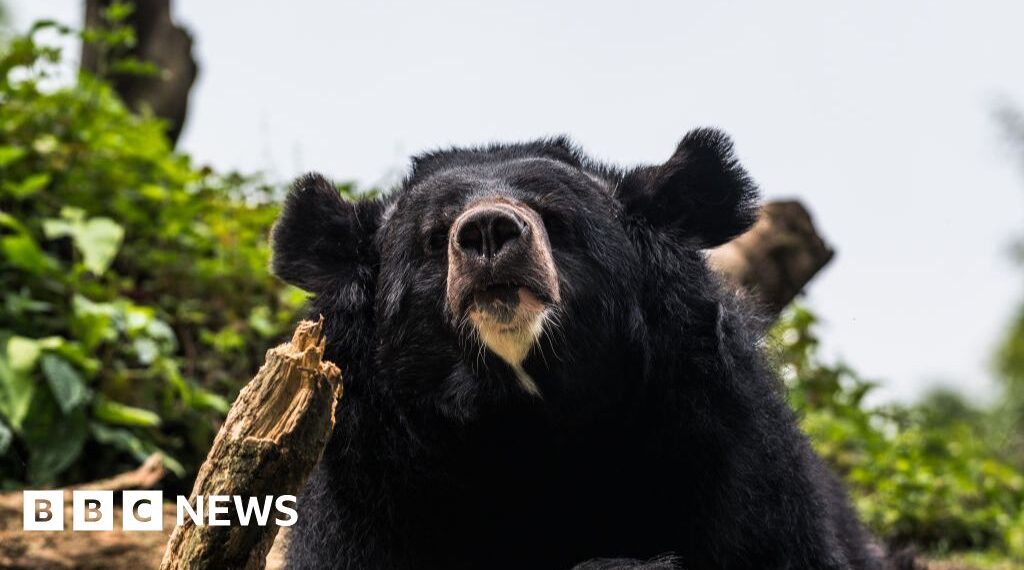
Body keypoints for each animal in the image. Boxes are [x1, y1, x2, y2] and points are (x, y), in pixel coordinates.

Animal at [271, 128, 891, 570]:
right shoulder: (372, 490)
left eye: (555, 218)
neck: (526, 419)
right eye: (433, 237)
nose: (488, 231)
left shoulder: (728, 453)